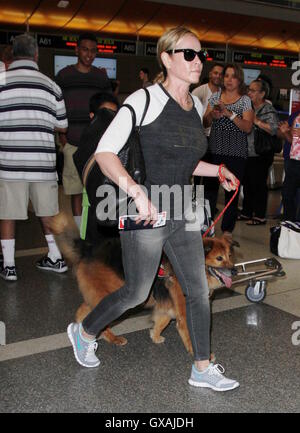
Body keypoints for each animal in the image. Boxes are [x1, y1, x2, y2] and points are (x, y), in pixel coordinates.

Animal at [50, 214, 236, 350]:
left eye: (230, 256)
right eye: (219, 259)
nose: (234, 271)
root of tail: (88, 248)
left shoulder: (167, 306)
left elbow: (162, 321)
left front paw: (155, 336)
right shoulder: (182, 309)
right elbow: (188, 333)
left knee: (84, 311)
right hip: (113, 295)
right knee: (98, 317)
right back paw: (111, 338)